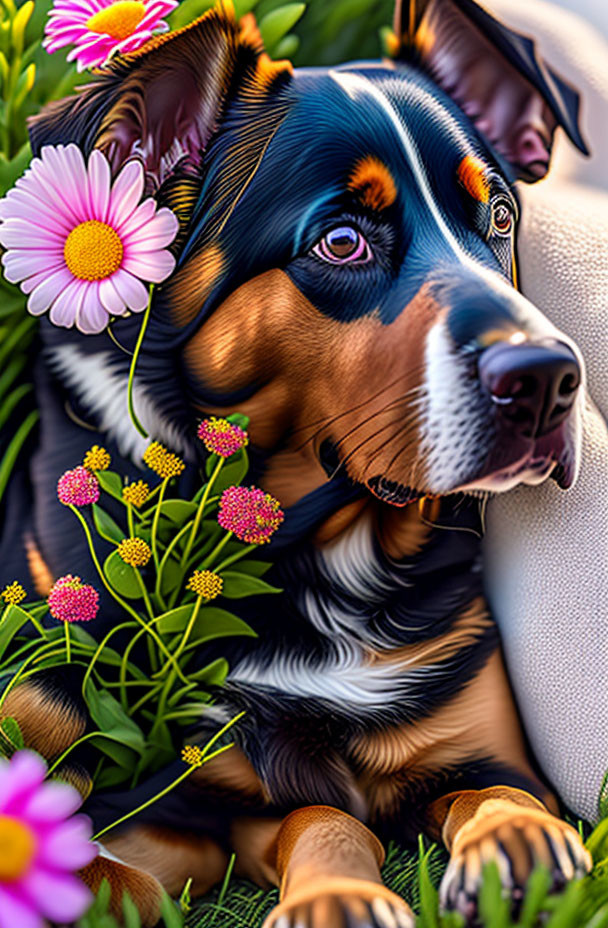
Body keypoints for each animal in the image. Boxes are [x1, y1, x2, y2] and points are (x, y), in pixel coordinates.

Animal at [0, 0, 596, 924]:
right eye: (342, 242)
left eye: (500, 218)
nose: (546, 379)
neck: (333, 555)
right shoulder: (201, 800)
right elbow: (310, 817)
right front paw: (337, 894)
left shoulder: (489, 751)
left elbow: (500, 794)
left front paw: (518, 844)